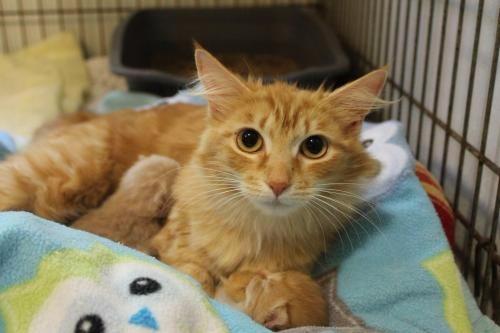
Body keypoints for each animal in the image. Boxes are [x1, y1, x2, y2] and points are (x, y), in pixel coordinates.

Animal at [0, 46, 386, 326]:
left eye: (314, 147)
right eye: (249, 140)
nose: (278, 183)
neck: (257, 228)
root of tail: (90, 116)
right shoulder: (178, 244)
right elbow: (194, 280)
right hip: (58, 173)